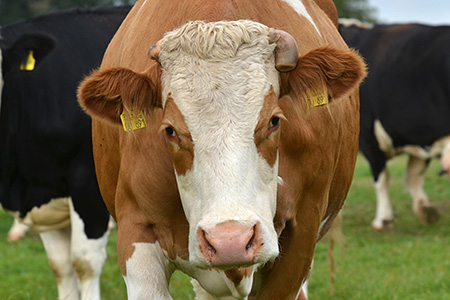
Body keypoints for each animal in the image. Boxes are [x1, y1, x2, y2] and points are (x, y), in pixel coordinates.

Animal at [342, 21, 450, 230]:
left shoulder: (368, 137)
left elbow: (382, 177)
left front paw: (383, 219)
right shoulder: (418, 135)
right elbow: (413, 176)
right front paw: (426, 210)